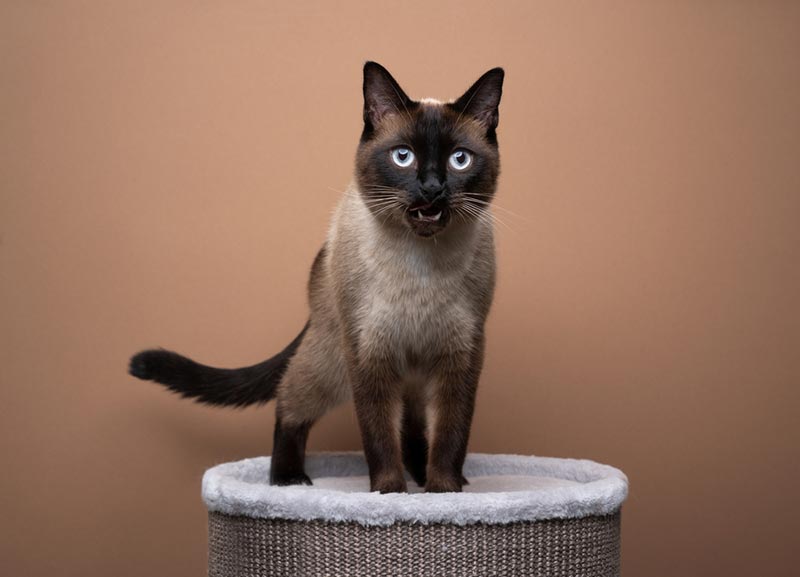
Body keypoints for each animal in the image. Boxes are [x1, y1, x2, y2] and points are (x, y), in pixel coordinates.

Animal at [131, 63, 506, 496]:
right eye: (403, 157)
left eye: (460, 159)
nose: (431, 188)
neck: (421, 265)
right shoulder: (367, 351)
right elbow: (378, 435)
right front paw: (390, 494)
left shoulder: (462, 353)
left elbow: (451, 434)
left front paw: (443, 493)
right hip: (332, 361)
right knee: (289, 405)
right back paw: (288, 480)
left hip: (409, 370)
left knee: (412, 427)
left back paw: (424, 475)